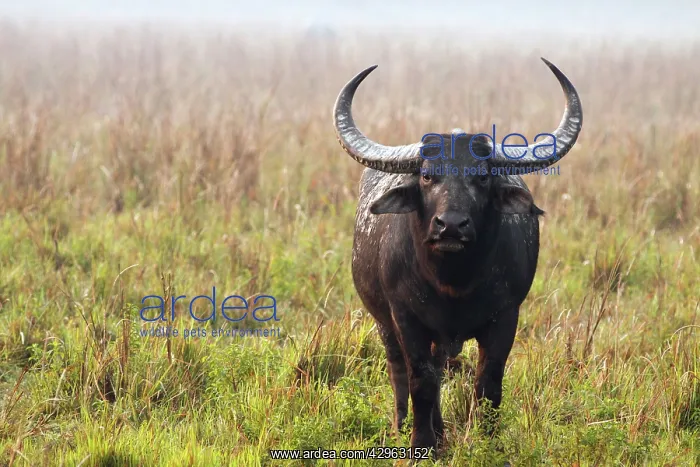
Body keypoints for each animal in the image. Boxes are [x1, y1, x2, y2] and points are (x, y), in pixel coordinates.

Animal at [332, 58, 583, 456]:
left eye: (482, 177)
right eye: (427, 176)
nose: (450, 226)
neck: (453, 284)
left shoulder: (506, 317)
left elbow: (488, 384)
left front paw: (486, 444)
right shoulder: (405, 318)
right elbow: (420, 380)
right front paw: (422, 446)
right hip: (384, 324)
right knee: (400, 371)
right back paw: (404, 428)